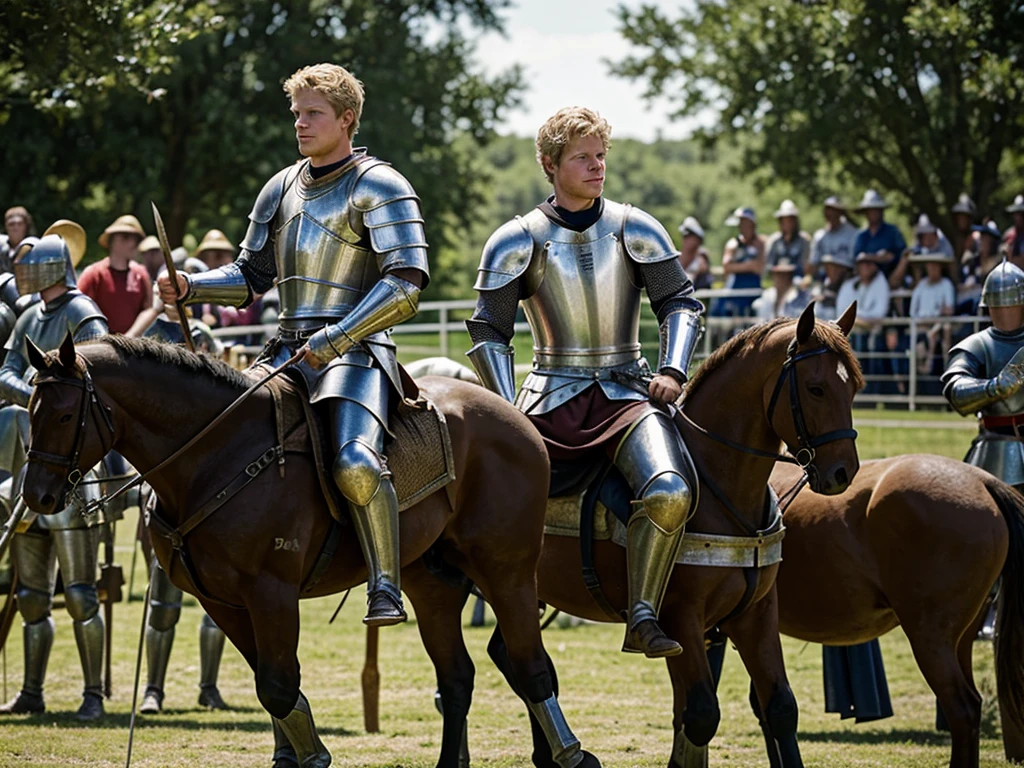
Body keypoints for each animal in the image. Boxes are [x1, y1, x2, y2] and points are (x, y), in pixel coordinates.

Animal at [18, 335, 598, 768]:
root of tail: (517, 418)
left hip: (508, 572)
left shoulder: (271, 594)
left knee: (530, 667)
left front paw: (314, 756)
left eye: (66, 416)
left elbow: (278, 688)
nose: (38, 497)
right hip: (431, 582)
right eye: (29, 409)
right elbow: (272, 688)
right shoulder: (223, 602)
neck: (214, 456)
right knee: (457, 678)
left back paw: (572, 754)